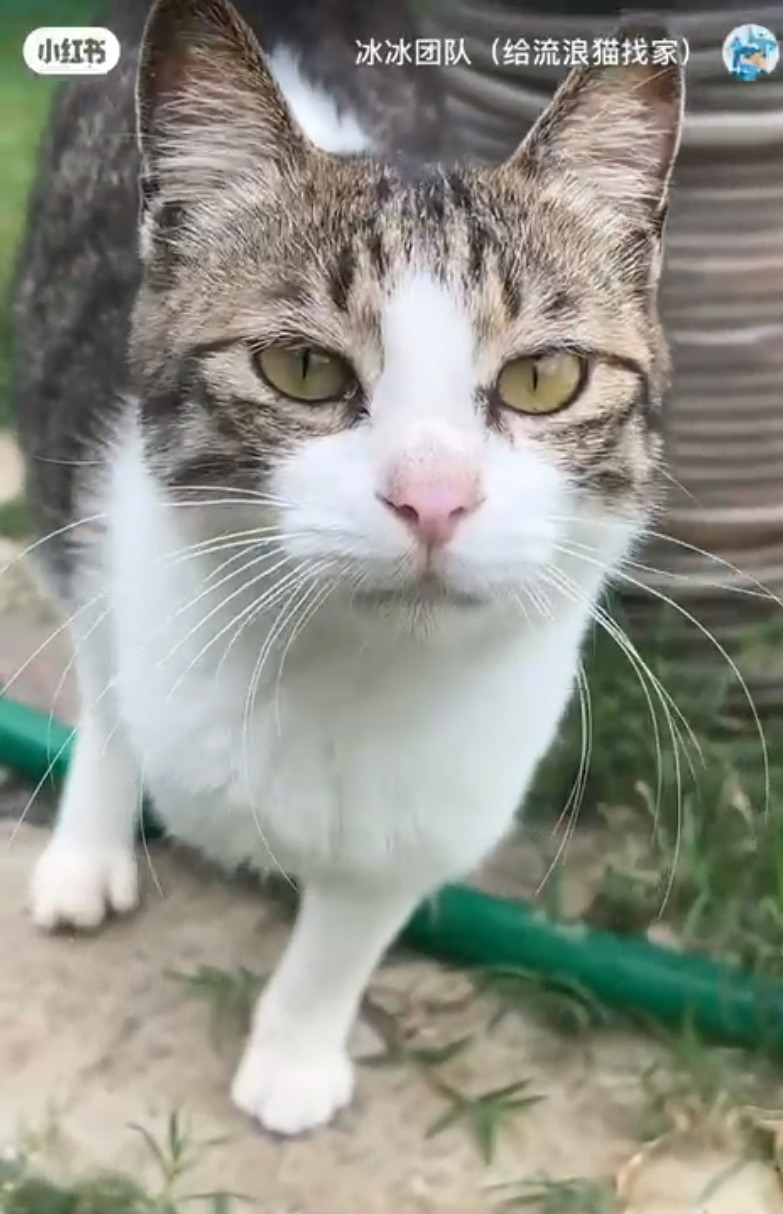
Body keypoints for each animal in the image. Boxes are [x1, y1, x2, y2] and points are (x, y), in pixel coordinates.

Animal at [12, 0, 683, 1137]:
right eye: (302, 369)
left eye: (544, 378)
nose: (434, 496)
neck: (355, 671)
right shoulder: (100, 520)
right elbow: (111, 694)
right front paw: (94, 831)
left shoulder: (453, 793)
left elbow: (354, 923)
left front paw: (292, 1051)